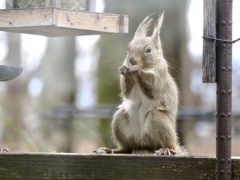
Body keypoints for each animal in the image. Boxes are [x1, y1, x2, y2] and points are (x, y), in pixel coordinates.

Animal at [95, 14, 188, 155]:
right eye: (128, 48)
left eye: (149, 50)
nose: (131, 60)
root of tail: (142, 143)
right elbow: (126, 91)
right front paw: (125, 70)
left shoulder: (160, 73)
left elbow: (154, 86)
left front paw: (138, 70)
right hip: (120, 120)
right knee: (126, 148)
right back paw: (112, 150)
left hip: (158, 120)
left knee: (169, 143)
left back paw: (166, 149)